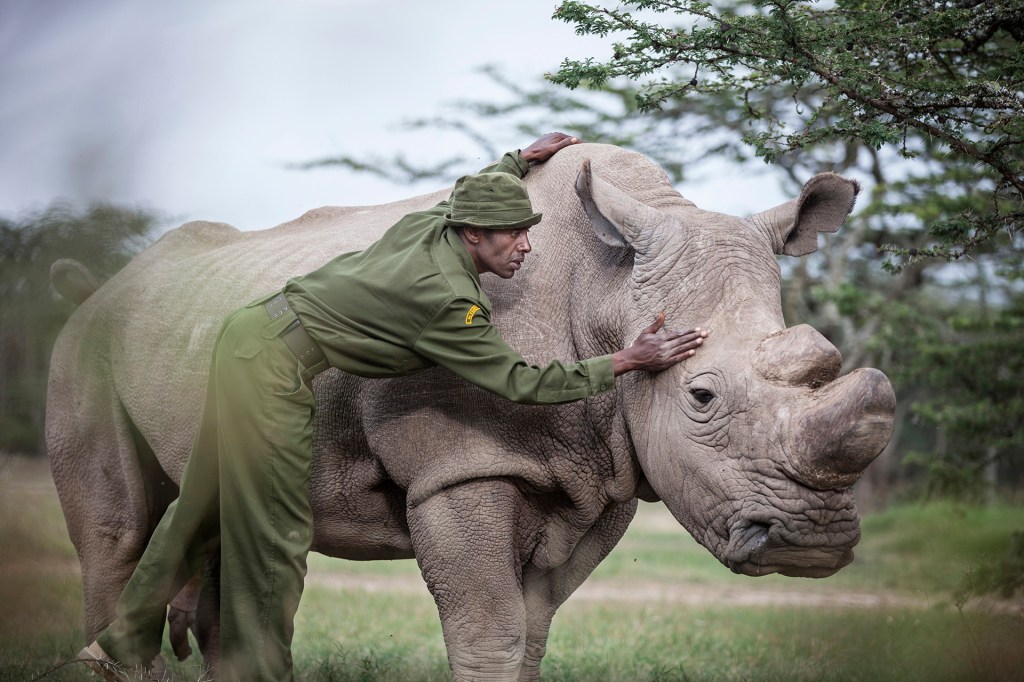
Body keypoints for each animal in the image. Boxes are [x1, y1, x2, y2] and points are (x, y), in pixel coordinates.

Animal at [49, 142, 897, 675]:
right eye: (702, 396)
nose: (814, 543)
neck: (608, 287)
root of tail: (101, 287)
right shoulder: (462, 466)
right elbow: (488, 627)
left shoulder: (603, 473)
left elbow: (532, 630)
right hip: (89, 347)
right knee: (120, 528)